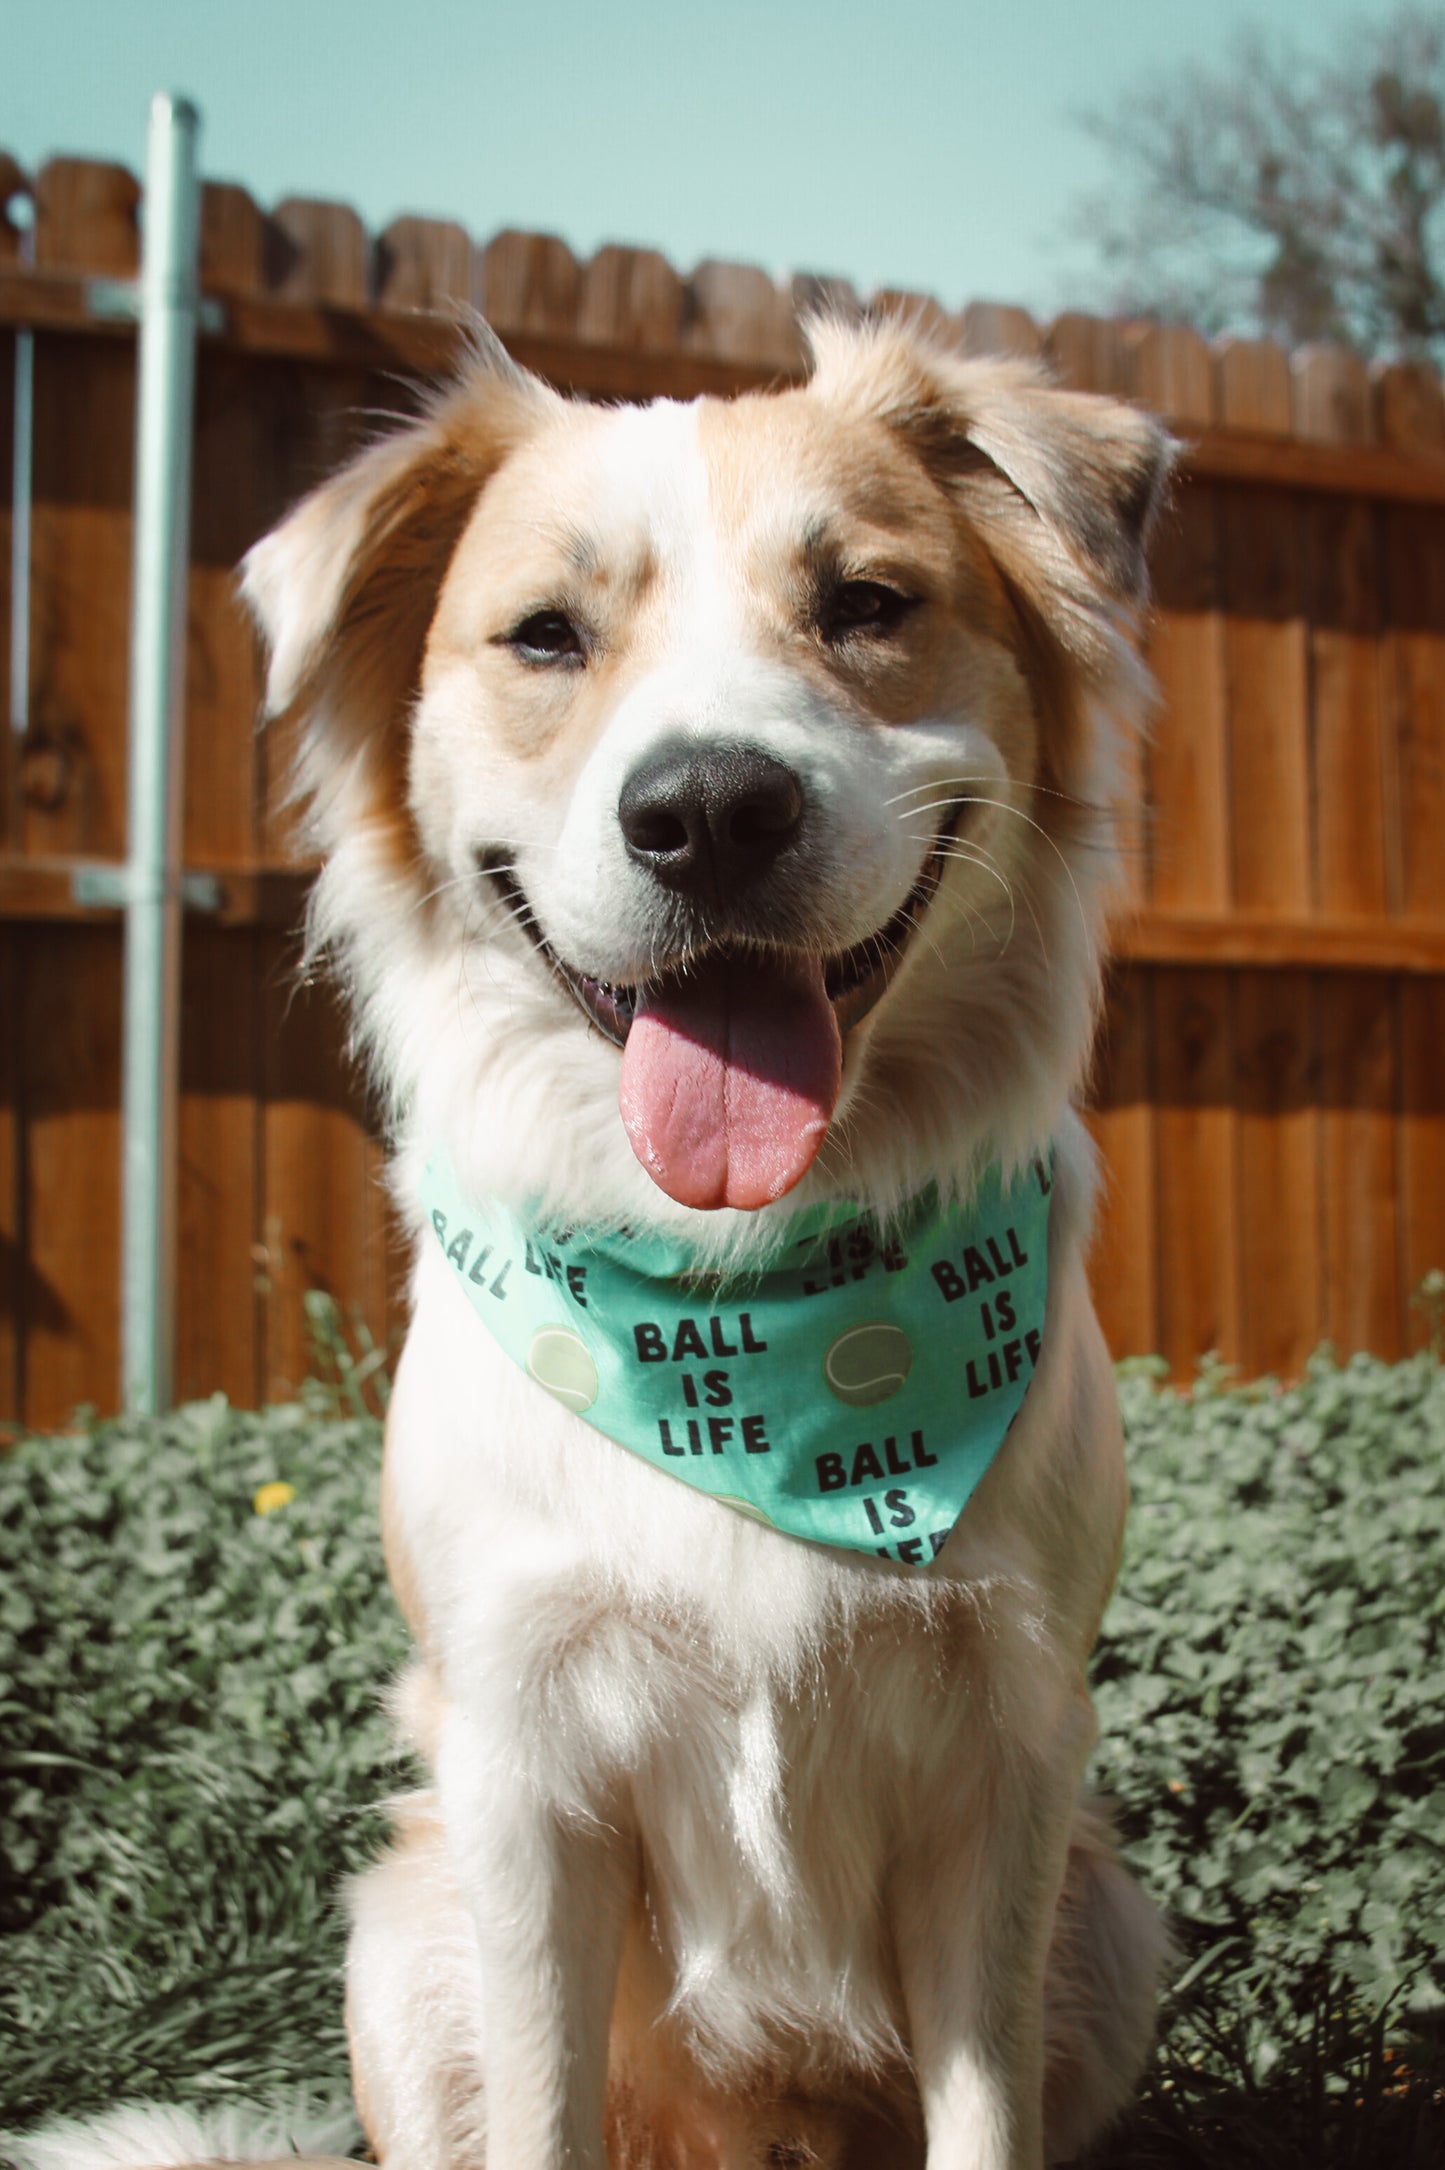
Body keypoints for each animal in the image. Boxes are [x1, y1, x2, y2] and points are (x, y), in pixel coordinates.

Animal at [25, 310, 1171, 2170]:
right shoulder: (521, 1773)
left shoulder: (1008, 1758)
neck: (743, 1318)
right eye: (545, 636)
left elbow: (981, 2117)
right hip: (397, 1942)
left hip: (1111, 1921)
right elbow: (545, 2103)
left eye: (867, 602)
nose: (708, 809)